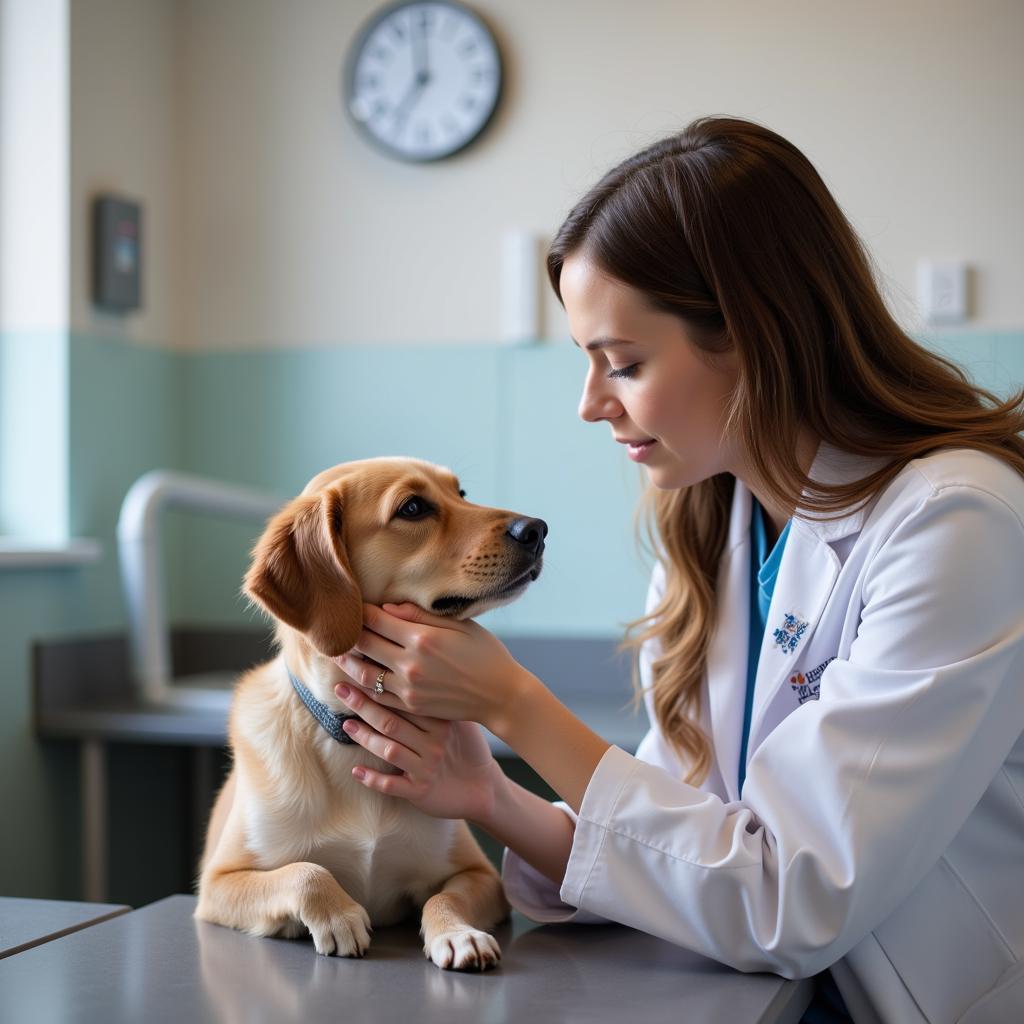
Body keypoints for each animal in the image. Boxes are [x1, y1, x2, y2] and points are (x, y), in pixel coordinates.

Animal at [191, 456, 544, 966]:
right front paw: (337, 916)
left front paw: (457, 933)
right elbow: (306, 872)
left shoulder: (481, 876)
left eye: (460, 492)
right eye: (413, 508)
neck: (353, 734)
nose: (537, 529)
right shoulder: (218, 885)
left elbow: (445, 897)